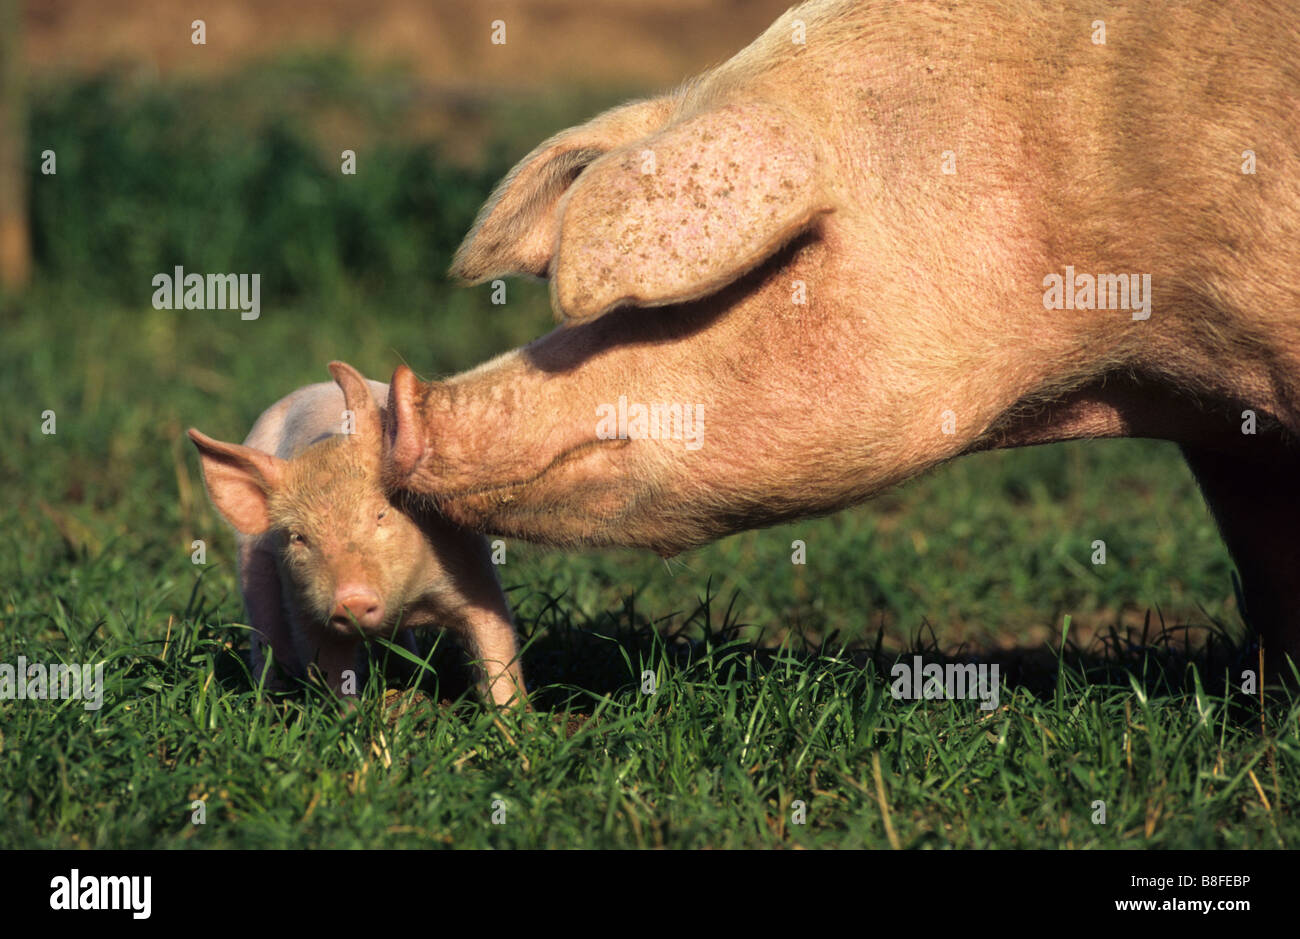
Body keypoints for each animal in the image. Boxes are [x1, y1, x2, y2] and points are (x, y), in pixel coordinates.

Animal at [188, 362, 525, 707]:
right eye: (298, 537)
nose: (351, 599)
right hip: (253, 565)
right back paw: (268, 701)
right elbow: (330, 669)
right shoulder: (307, 610)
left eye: (381, 514)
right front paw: (349, 717)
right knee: (265, 633)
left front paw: (512, 716)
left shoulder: (472, 572)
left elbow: (496, 650)